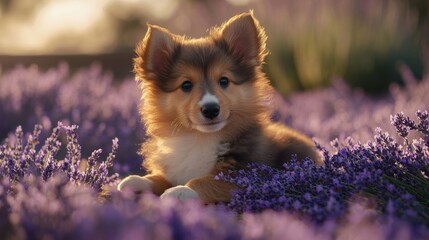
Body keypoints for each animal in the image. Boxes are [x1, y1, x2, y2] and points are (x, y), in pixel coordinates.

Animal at [117, 10, 320, 202]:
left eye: (224, 80)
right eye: (186, 85)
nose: (211, 109)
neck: (200, 138)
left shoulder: (246, 172)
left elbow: (208, 180)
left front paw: (180, 190)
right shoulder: (176, 168)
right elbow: (160, 177)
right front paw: (136, 180)